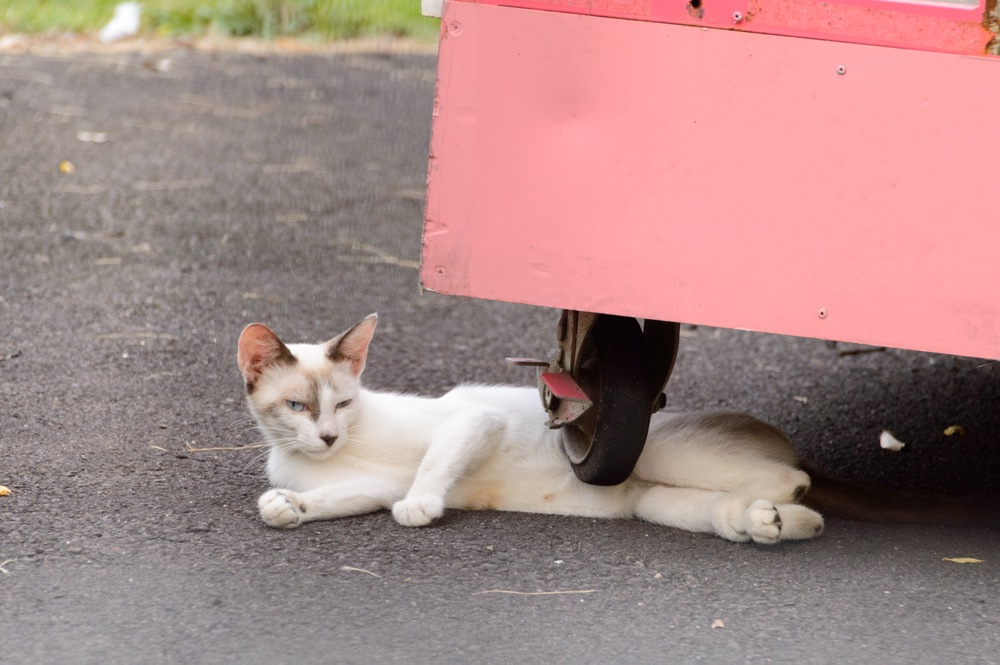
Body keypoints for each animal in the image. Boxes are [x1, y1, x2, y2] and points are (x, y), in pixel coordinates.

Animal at [237, 314, 997, 543]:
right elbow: (322, 499)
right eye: (299, 408)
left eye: (341, 403)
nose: (327, 437)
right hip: (659, 502)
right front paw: (286, 506)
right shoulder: (363, 483)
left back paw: (780, 501)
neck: (339, 456)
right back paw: (768, 522)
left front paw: (421, 505)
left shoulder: (469, 418)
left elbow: (430, 468)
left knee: (793, 477)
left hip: (665, 457)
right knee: (778, 507)